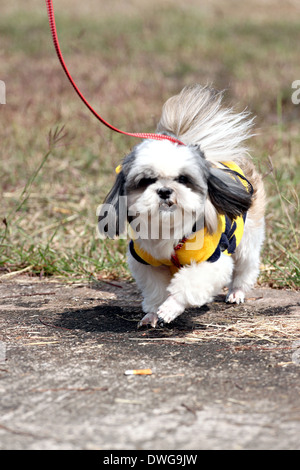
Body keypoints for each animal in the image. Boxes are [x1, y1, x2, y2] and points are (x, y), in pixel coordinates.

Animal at [98, 84, 264, 326]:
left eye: (183, 179)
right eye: (146, 181)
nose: (165, 191)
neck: (169, 230)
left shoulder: (212, 260)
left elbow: (189, 284)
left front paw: (170, 308)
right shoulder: (146, 262)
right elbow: (156, 289)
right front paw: (152, 314)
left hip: (247, 239)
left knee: (245, 266)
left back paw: (236, 292)